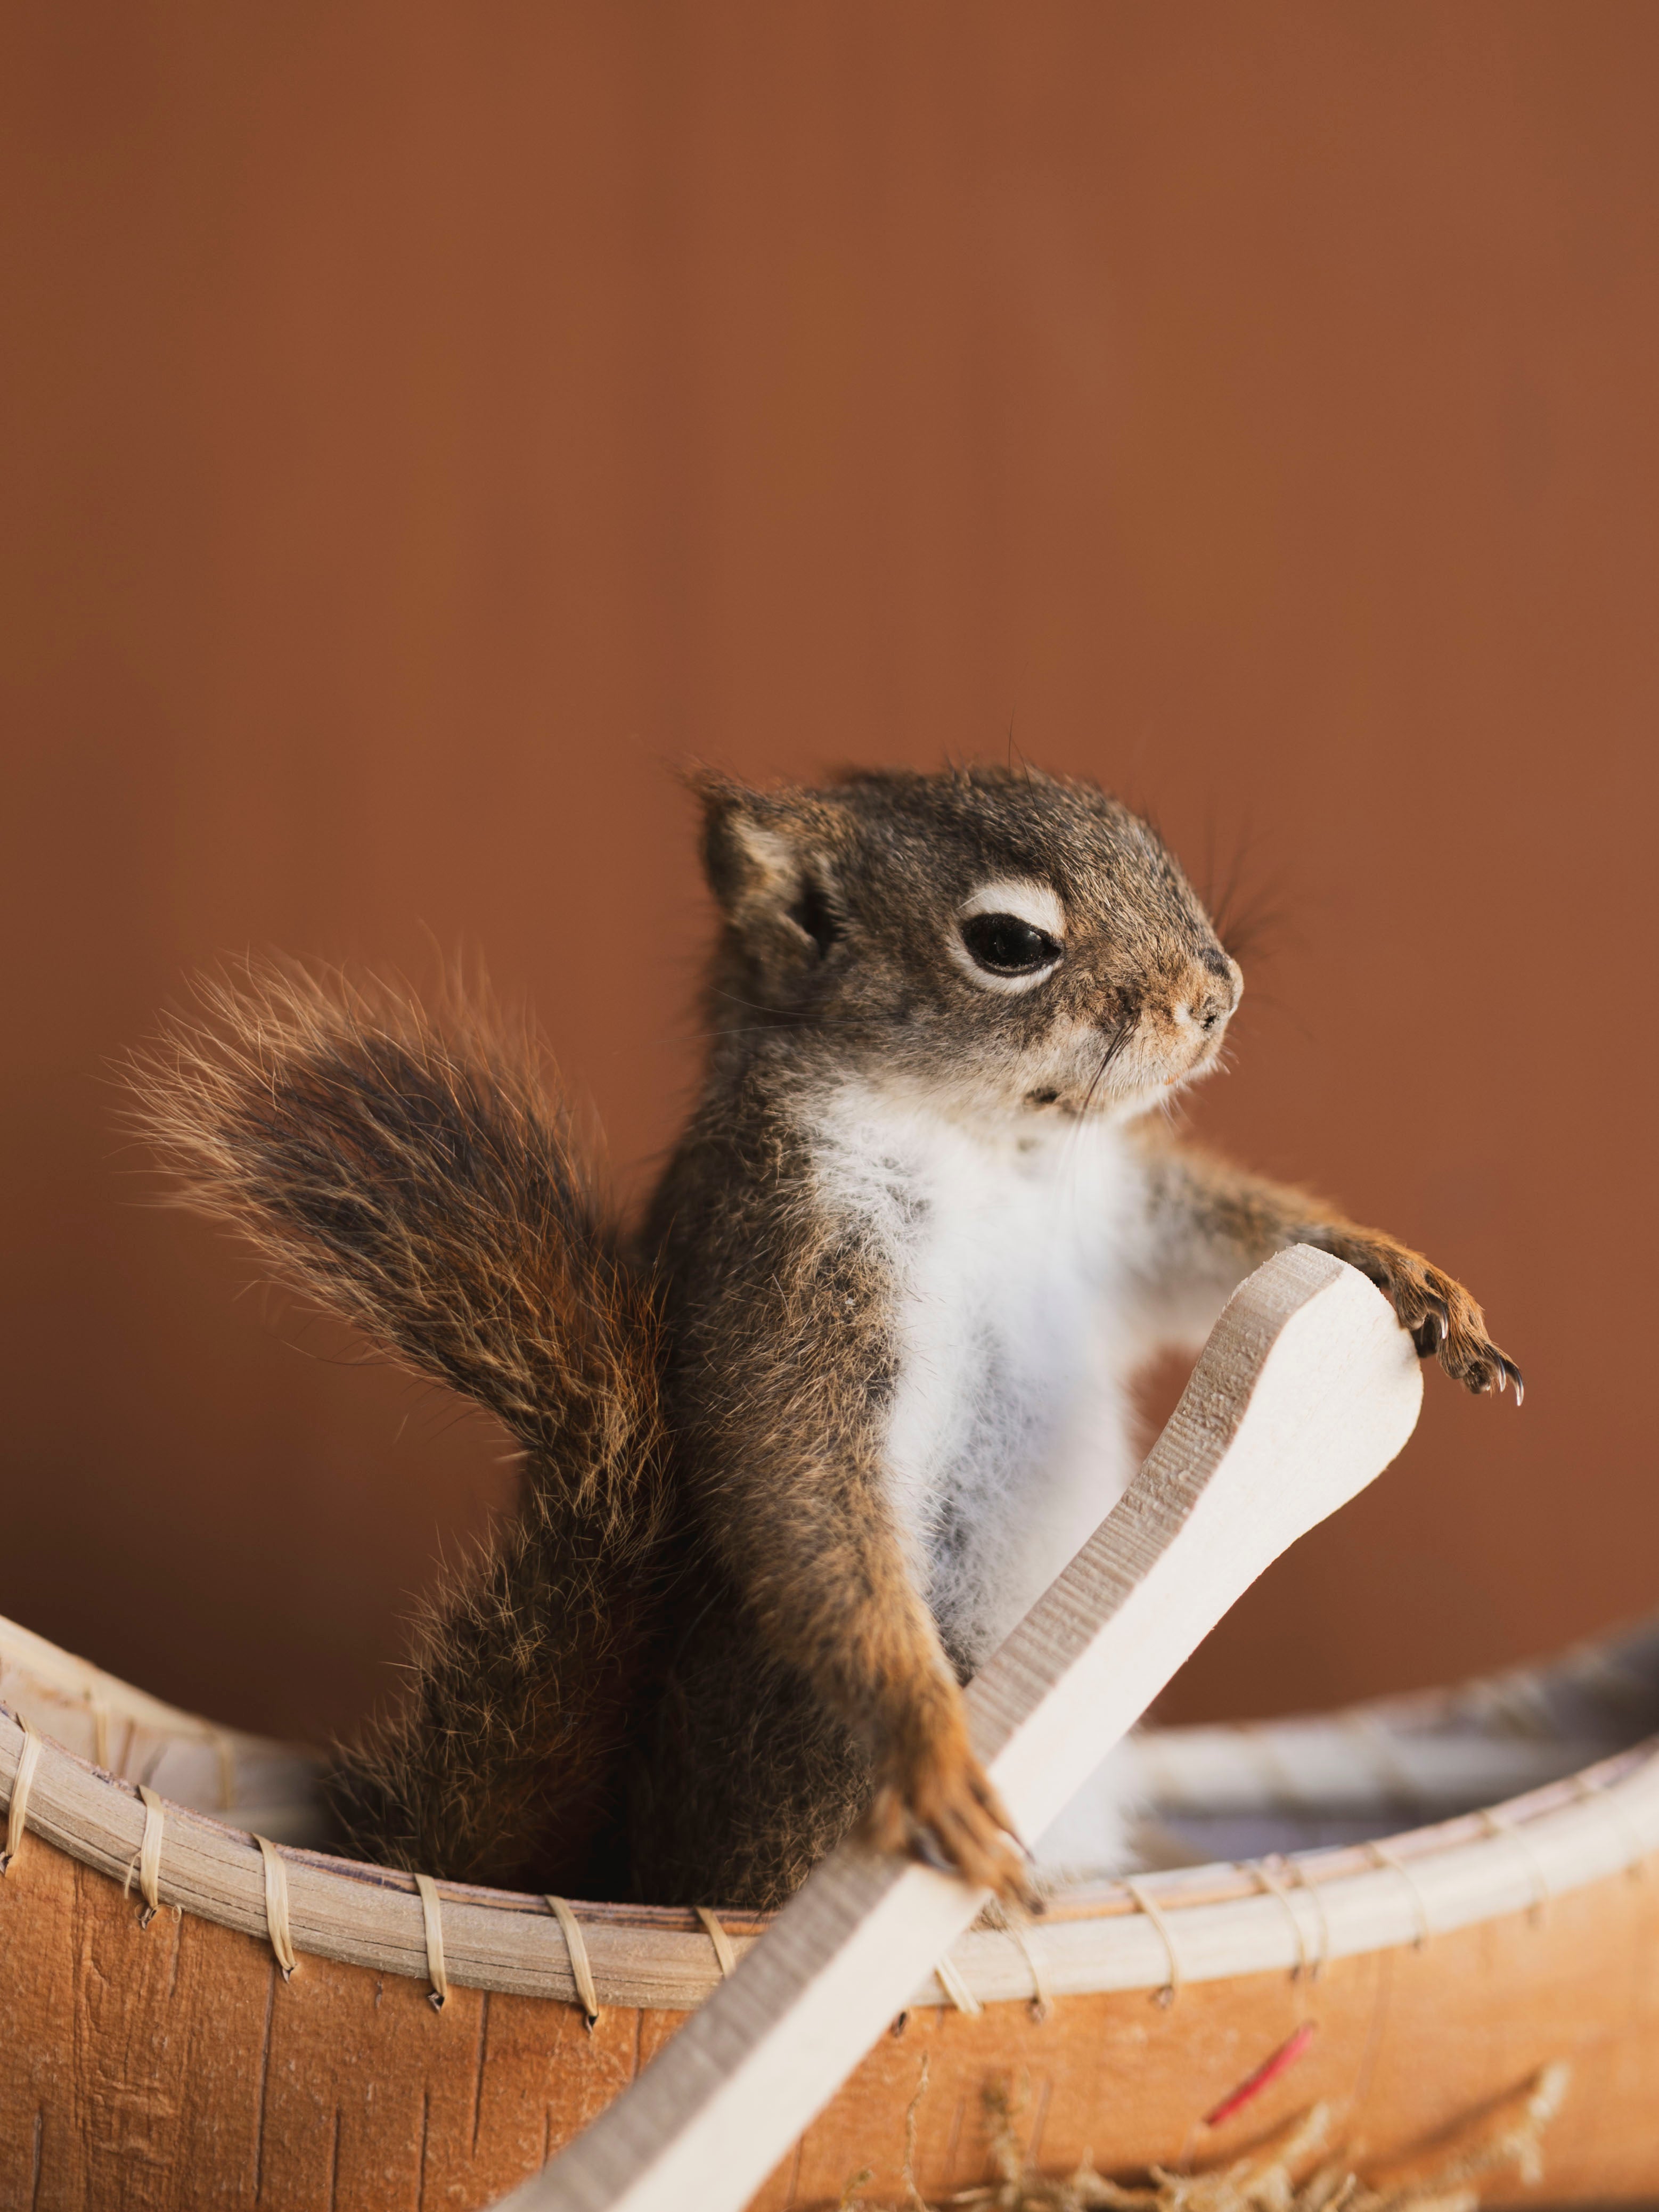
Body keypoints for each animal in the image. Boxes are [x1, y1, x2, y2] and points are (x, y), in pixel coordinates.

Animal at [131, 763, 1520, 1911]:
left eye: (1148, 839)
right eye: (1009, 943)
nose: (1217, 994)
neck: (985, 1144)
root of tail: (642, 1873)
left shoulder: (1117, 1222)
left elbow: (1225, 1246)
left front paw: (1408, 1273)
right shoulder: (792, 1269)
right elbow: (802, 1489)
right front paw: (930, 1747)